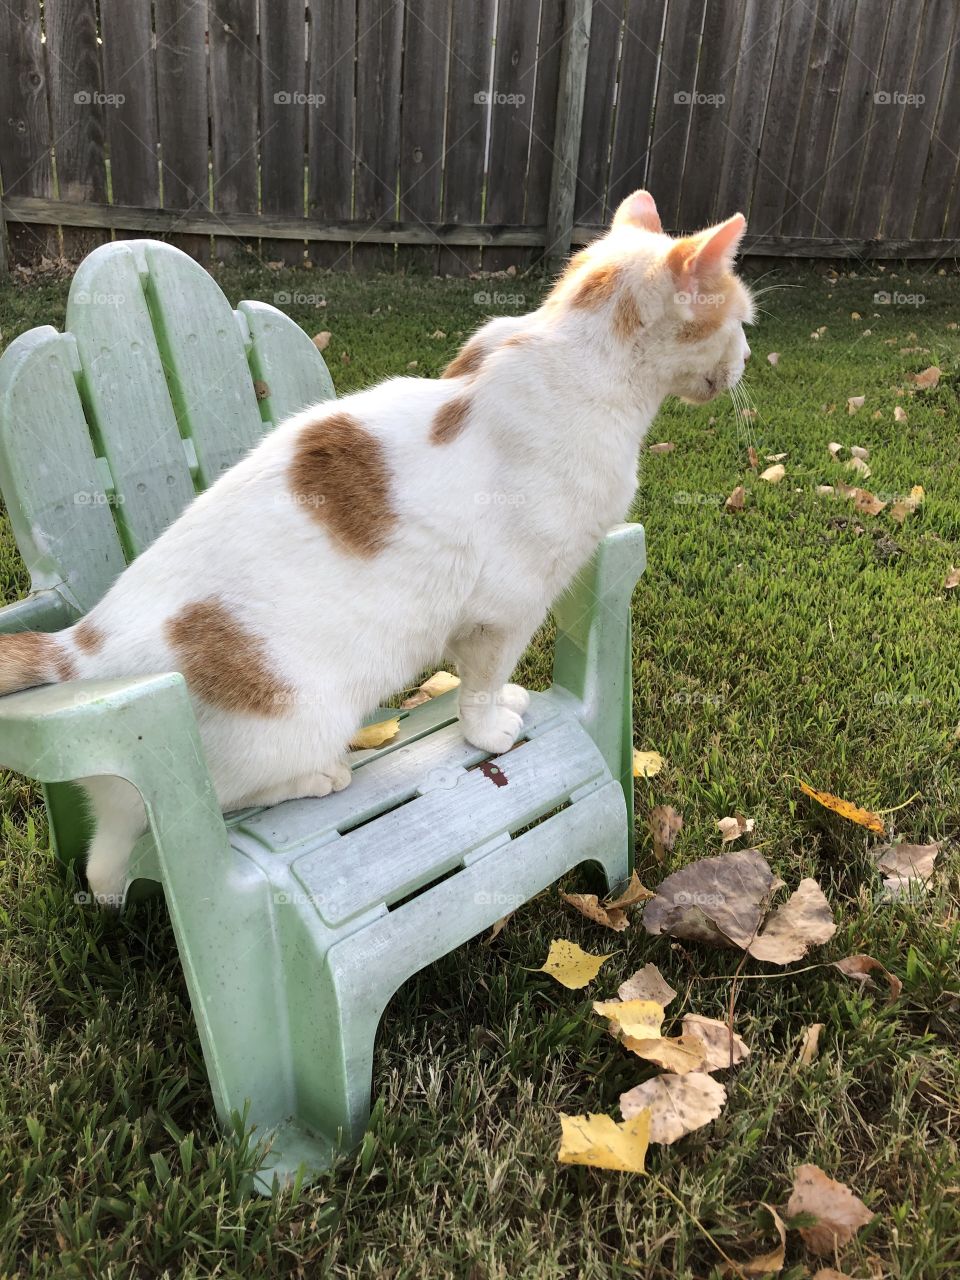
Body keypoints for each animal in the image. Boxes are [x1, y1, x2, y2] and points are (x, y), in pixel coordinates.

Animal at [0, 194, 752, 906]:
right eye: (743, 321)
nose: (747, 360)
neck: (581, 361)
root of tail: (80, 649)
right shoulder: (506, 606)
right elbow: (481, 684)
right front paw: (489, 730)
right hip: (292, 723)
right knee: (207, 808)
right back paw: (319, 776)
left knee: (103, 865)